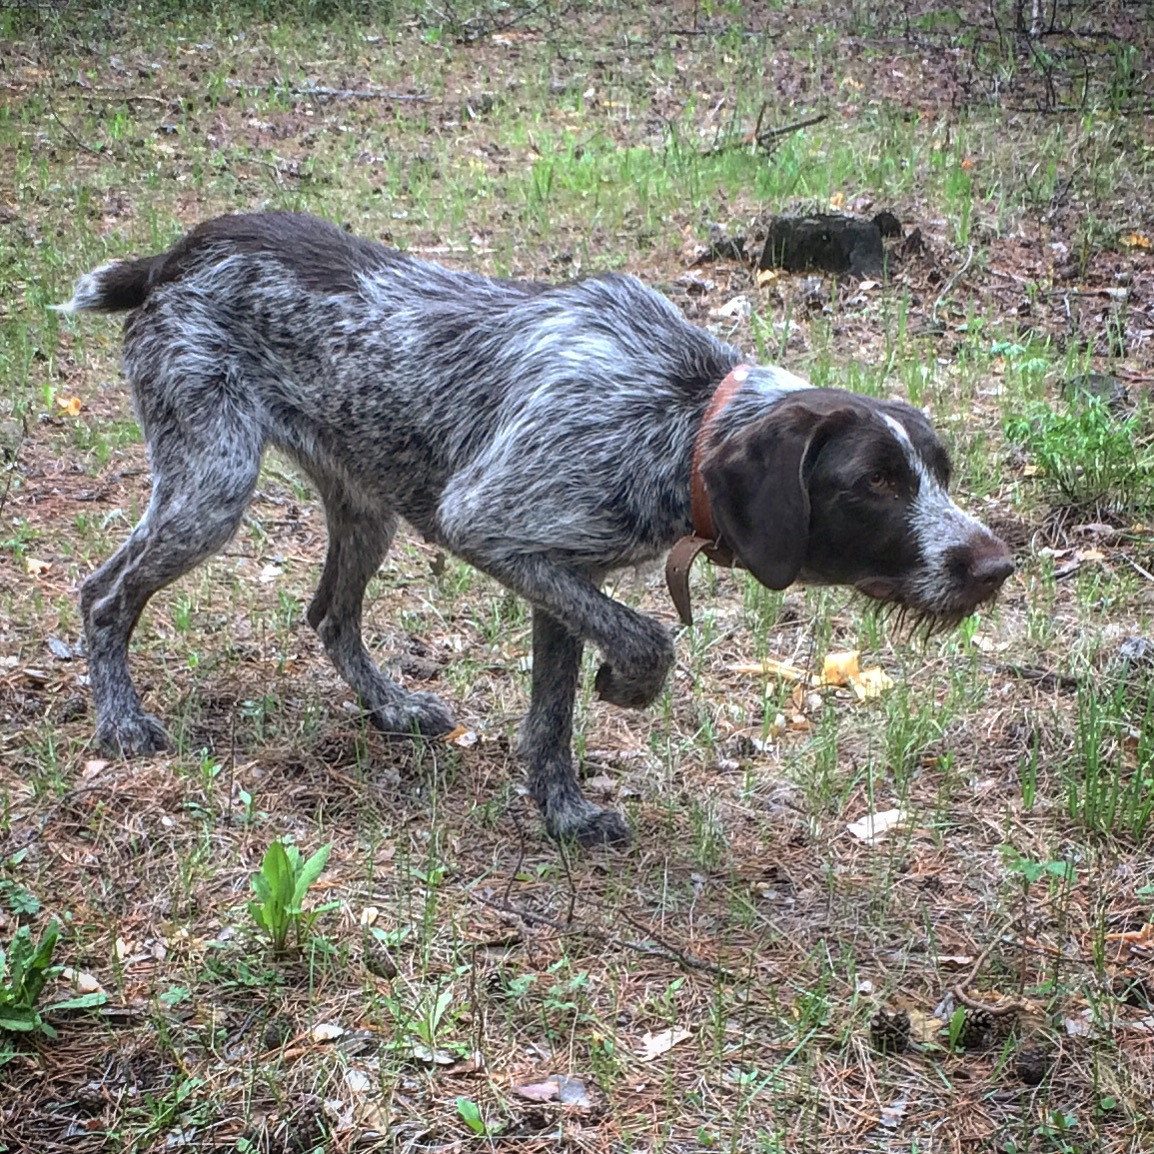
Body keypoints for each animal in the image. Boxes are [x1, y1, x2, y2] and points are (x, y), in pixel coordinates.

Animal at [56, 212, 1010, 849]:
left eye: (940, 471)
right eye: (874, 483)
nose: (996, 566)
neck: (682, 413)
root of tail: (178, 254)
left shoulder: (560, 567)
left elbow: (554, 716)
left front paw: (563, 811)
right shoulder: (490, 527)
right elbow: (650, 640)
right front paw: (627, 691)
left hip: (362, 507)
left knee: (329, 615)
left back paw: (391, 705)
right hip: (212, 487)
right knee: (104, 593)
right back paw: (122, 722)